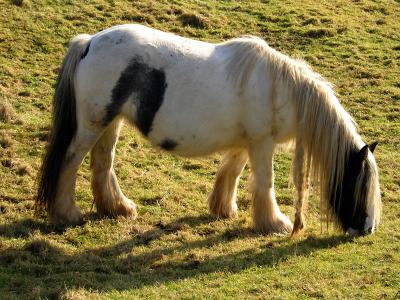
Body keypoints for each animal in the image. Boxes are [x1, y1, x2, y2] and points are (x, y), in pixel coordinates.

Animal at [35, 24, 382, 236]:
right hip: (92, 126)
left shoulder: (247, 142)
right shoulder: (262, 144)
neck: (280, 89)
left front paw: (223, 209)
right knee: (70, 163)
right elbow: (264, 182)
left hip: (111, 123)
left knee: (103, 163)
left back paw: (118, 208)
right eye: (359, 187)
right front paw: (275, 223)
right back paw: (67, 214)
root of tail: (89, 42)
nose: (367, 229)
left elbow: (232, 172)